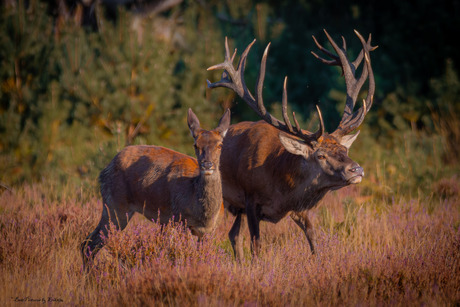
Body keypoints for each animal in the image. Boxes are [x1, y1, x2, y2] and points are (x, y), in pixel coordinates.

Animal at [81, 109, 230, 268]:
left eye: (220, 144)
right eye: (196, 144)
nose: (207, 165)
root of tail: (104, 170)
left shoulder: (209, 231)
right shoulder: (179, 220)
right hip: (114, 205)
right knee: (89, 243)